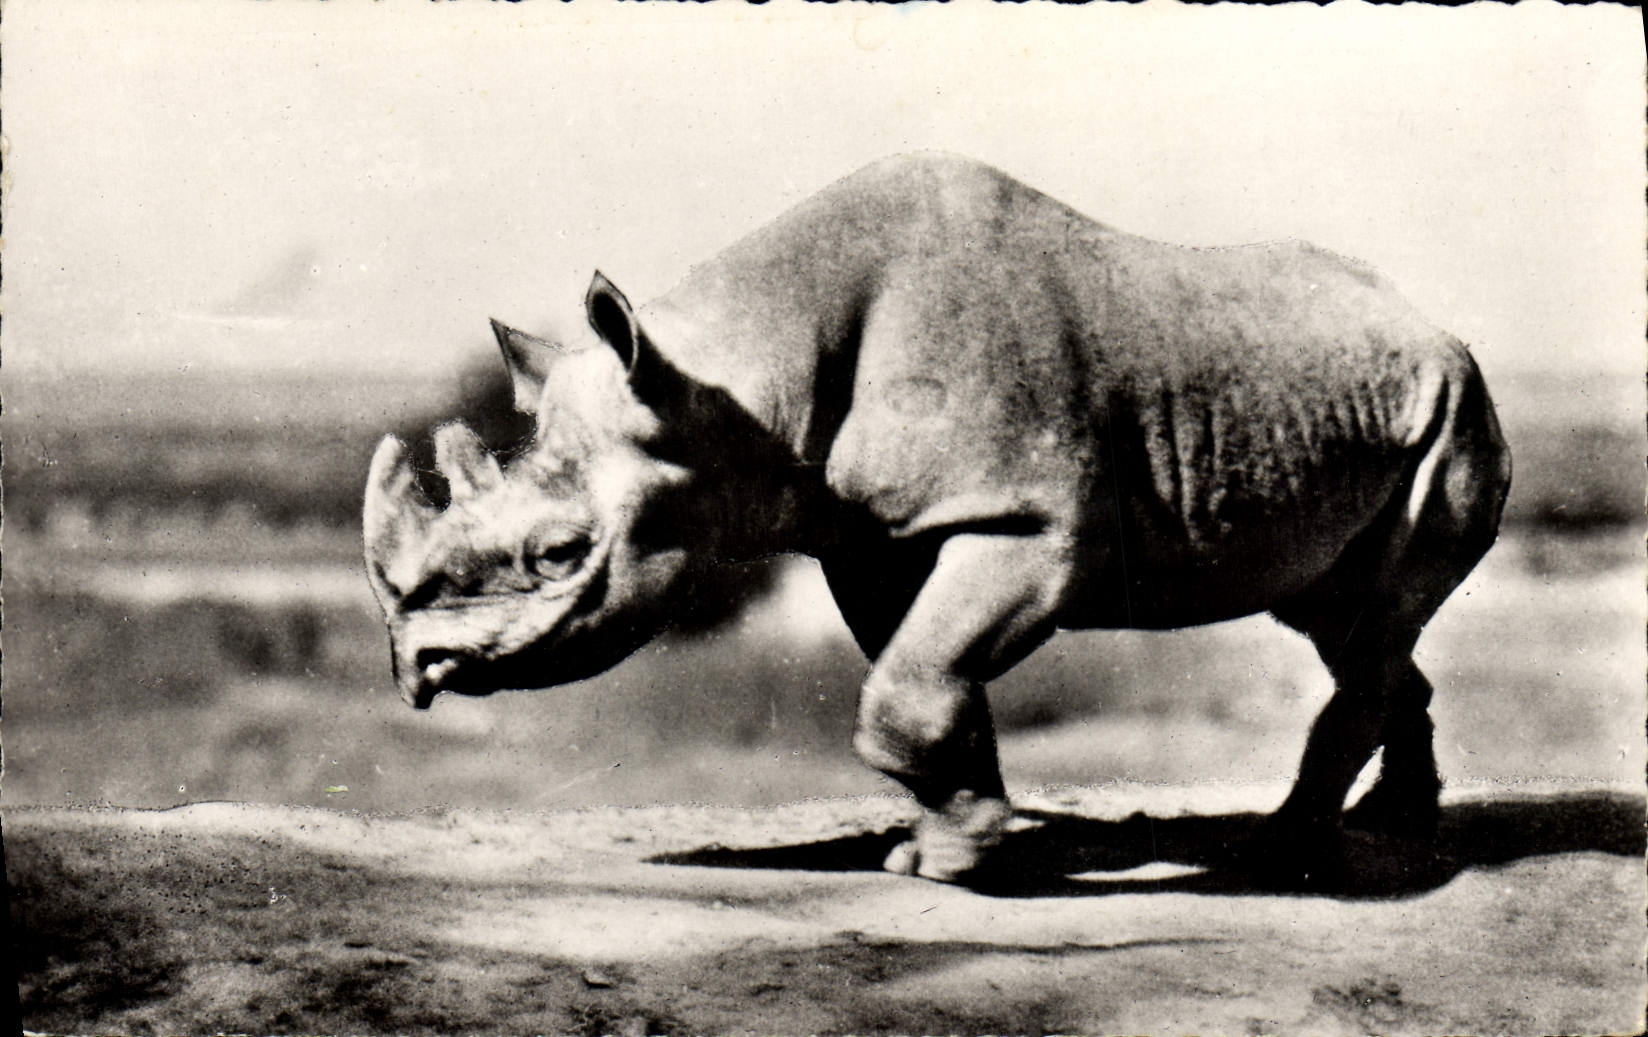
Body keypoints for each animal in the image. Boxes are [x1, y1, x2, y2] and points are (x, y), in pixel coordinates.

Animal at [364, 153, 1511, 884]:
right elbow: (918, 675)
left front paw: (962, 860)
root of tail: (1433, 322)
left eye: (559, 553)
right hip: (1352, 403)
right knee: (1339, 614)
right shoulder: (875, 537)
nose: (416, 662)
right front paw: (952, 841)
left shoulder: (1028, 520)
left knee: (1375, 615)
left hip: (1455, 407)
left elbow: (909, 683)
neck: (729, 390)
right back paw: (1395, 823)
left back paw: (1287, 849)